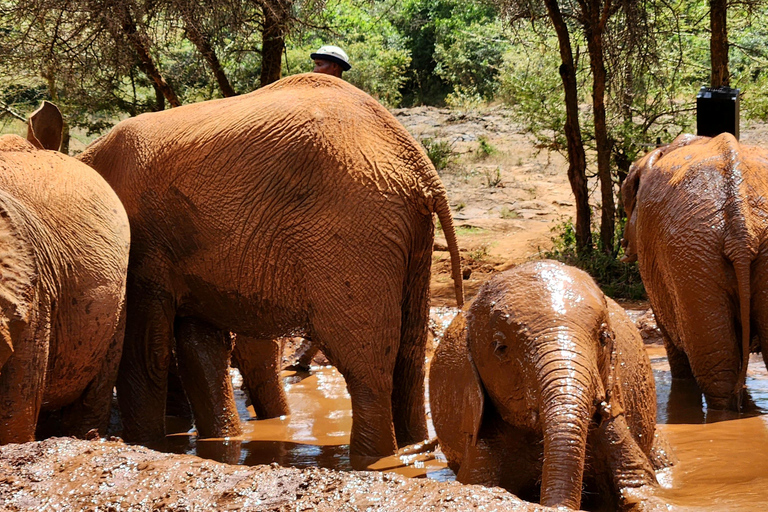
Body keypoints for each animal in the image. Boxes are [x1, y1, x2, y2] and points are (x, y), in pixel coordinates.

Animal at [75, 72, 464, 460]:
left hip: (353, 229)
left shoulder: (145, 243)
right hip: (408, 236)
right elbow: (198, 347)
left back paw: (372, 460)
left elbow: (144, 349)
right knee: (409, 355)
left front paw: (146, 443)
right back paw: (413, 449)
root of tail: (419, 166)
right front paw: (221, 442)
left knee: (365, 364)